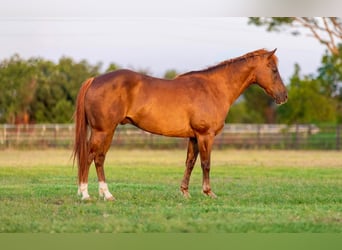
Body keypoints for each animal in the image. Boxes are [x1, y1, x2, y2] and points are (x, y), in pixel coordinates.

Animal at [73, 48, 288, 201]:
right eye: (274, 70)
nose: (284, 96)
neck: (214, 88)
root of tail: (94, 80)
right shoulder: (205, 135)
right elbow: (206, 163)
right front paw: (209, 192)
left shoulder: (193, 137)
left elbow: (190, 163)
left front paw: (185, 192)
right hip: (103, 131)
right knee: (91, 157)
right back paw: (86, 194)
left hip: (107, 132)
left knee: (99, 158)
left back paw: (106, 194)